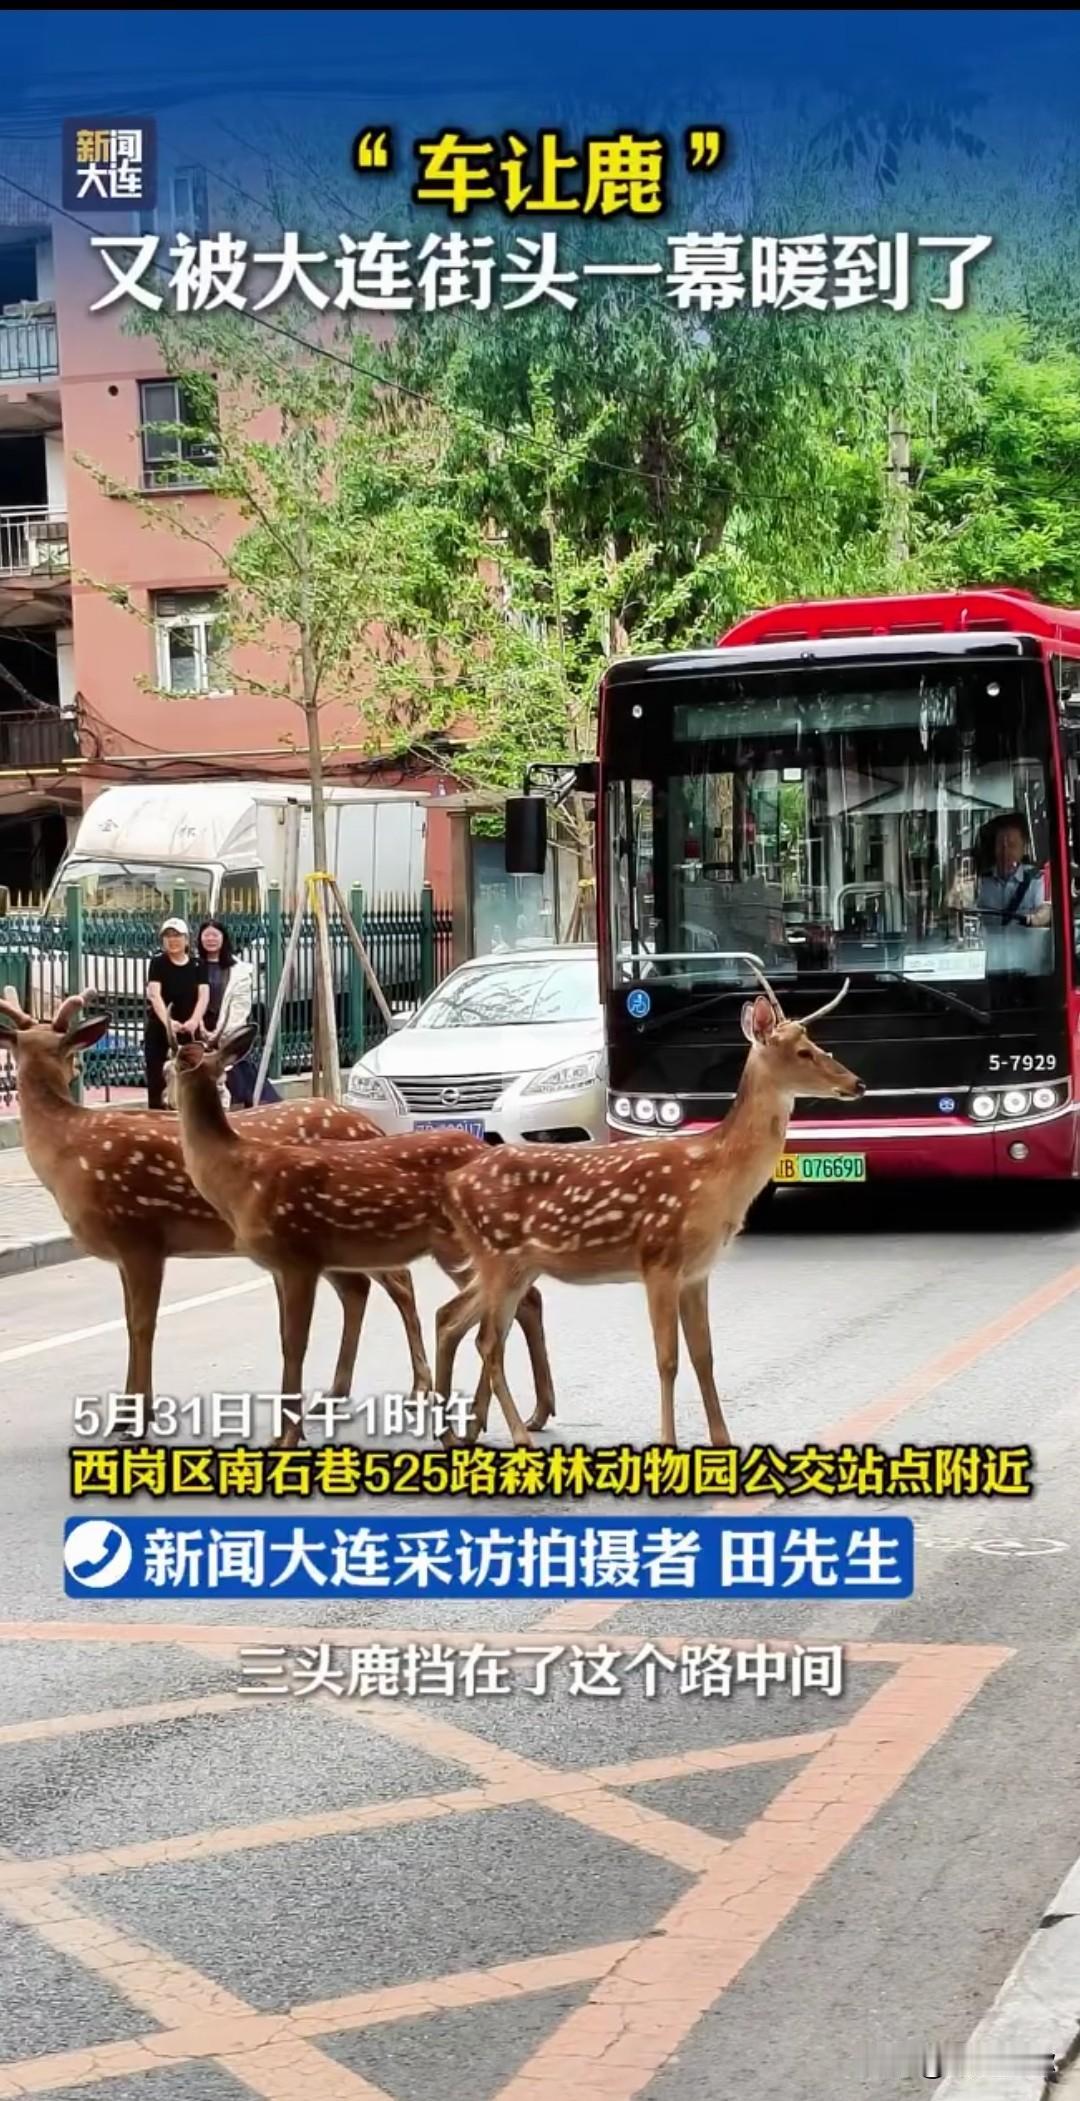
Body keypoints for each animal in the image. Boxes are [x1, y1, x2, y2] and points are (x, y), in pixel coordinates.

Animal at [0, 987, 432, 1417]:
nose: (77, 1071)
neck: (69, 1150)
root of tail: (370, 1125)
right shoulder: (125, 1251)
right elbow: (129, 1321)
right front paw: (131, 1406)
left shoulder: (139, 1233)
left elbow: (142, 1324)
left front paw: (136, 1414)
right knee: (359, 1288)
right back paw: (336, 1392)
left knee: (401, 1284)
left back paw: (418, 1389)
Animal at [169, 1022, 557, 1449]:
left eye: (174, 1061)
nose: (164, 1090)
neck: (241, 1178)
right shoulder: (280, 1266)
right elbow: (287, 1338)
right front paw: (284, 1434)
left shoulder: (297, 1255)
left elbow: (294, 1345)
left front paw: (288, 1438)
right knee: (522, 1303)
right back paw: (526, 1415)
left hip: (459, 1246)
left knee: (518, 1304)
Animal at [435, 966, 866, 1450]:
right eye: (803, 1052)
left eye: (821, 1045)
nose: (857, 1083)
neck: (714, 1175)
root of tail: (453, 1183)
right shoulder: (659, 1257)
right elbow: (667, 1358)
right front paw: (668, 1441)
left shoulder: (697, 1271)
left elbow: (704, 1355)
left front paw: (723, 1439)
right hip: (498, 1255)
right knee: (487, 1342)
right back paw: (518, 1436)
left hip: (514, 1264)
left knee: (455, 1322)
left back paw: (456, 1435)